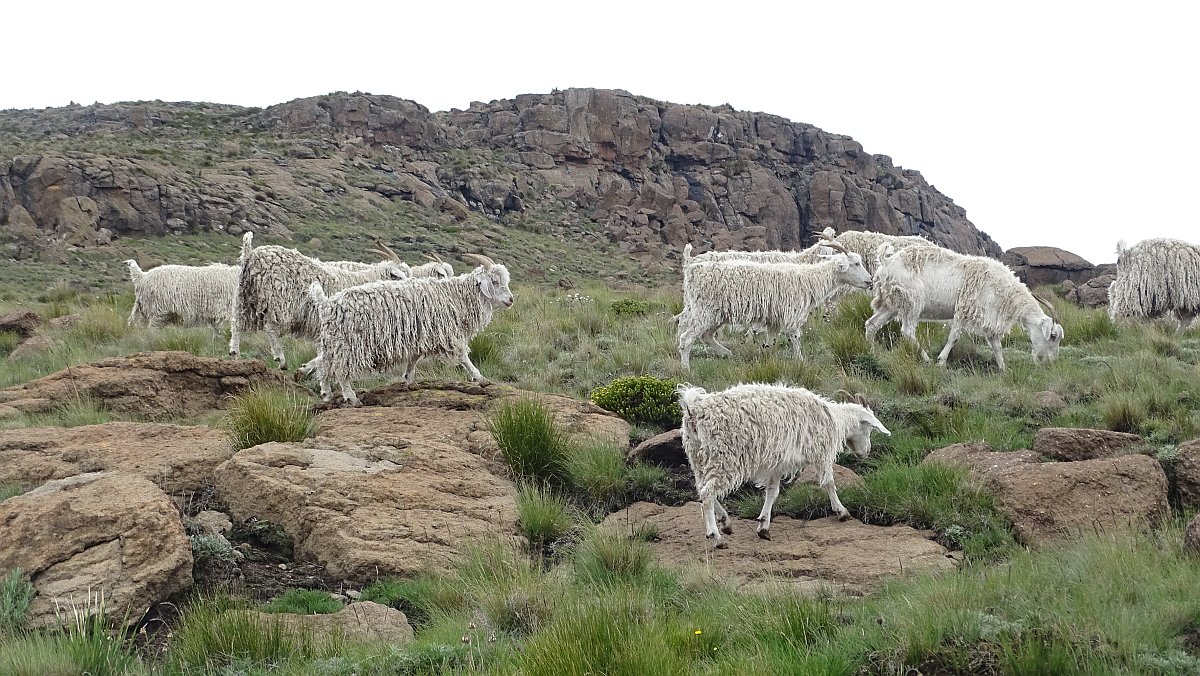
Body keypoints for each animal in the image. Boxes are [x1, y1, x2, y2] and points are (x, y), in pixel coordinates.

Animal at [229, 232, 412, 369]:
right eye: (400, 276)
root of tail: (251, 254)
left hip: (244, 296)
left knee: (236, 323)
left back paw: (235, 354)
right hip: (277, 300)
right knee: (270, 327)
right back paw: (281, 360)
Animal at [302, 250, 513, 405]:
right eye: (495, 282)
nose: (511, 300)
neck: (455, 296)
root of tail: (326, 304)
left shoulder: (420, 334)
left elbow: (414, 357)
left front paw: (408, 380)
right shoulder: (446, 333)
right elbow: (463, 356)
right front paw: (480, 378)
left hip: (333, 342)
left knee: (323, 364)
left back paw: (326, 394)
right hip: (349, 345)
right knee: (340, 371)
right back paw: (352, 398)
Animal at [676, 238, 873, 367]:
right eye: (856, 263)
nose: (870, 281)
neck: (809, 278)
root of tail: (692, 268)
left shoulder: (773, 320)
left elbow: (770, 343)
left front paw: (768, 359)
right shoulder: (791, 313)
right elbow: (795, 338)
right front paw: (800, 361)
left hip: (714, 314)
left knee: (706, 336)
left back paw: (728, 354)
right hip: (705, 312)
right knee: (686, 339)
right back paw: (686, 369)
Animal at [681, 384, 888, 547]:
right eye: (868, 428)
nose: (866, 452)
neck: (836, 420)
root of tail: (694, 412)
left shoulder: (777, 464)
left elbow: (772, 493)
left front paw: (764, 526)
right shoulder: (821, 452)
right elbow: (828, 482)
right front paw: (841, 511)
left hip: (698, 457)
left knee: (701, 488)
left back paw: (725, 522)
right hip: (724, 457)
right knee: (707, 493)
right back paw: (717, 537)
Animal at [864, 243, 1070, 369]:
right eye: (1053, 336)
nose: (1051, 362)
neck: (1005, 290)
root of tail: (887, 261)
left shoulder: (990, 318)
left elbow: (996, 346)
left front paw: (1003, 368)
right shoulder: (965, 309)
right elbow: (954, 337)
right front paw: (941, 361)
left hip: (890, 304)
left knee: (872, 324)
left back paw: (872, 353)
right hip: (911, 301)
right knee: (907, 332)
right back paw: (926, 359)